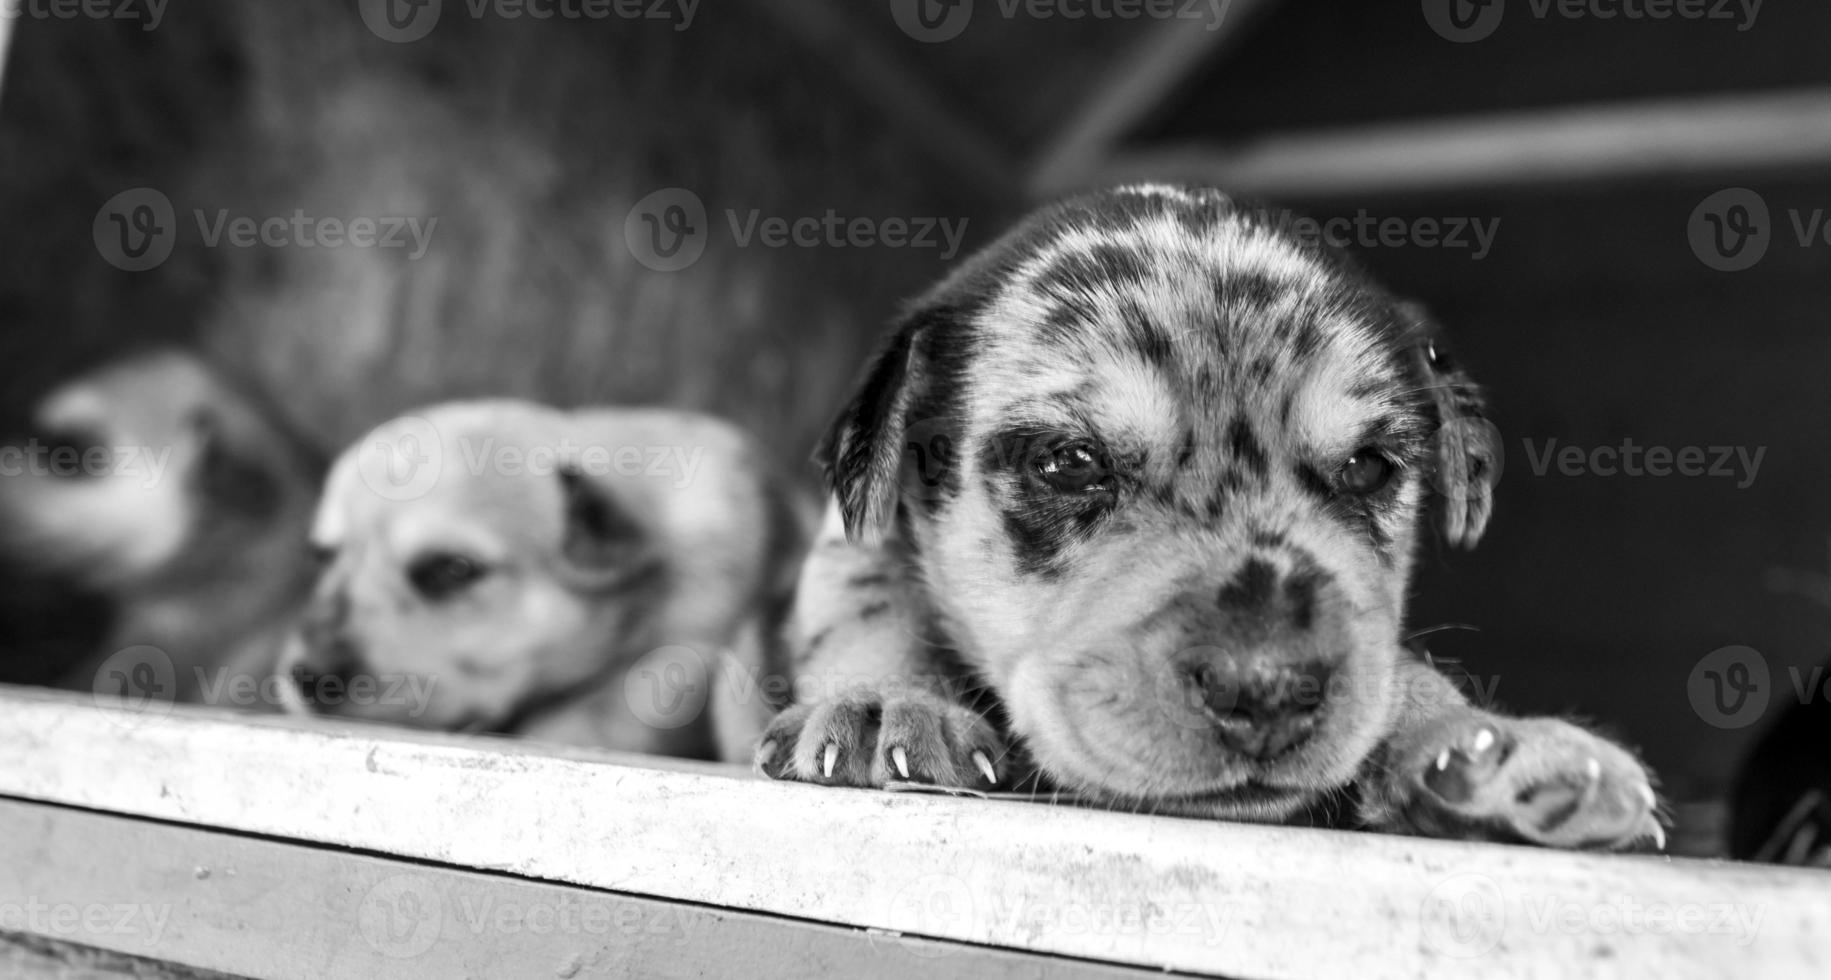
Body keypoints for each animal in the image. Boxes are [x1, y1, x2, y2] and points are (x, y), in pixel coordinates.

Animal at [758, 185, 1662, 849]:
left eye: (1366, 467)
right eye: (1068, 461)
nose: (1264, 692)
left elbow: (1393, 665)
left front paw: (1480, 743)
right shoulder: (850, 543)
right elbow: (869, 604)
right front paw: (881, 698)